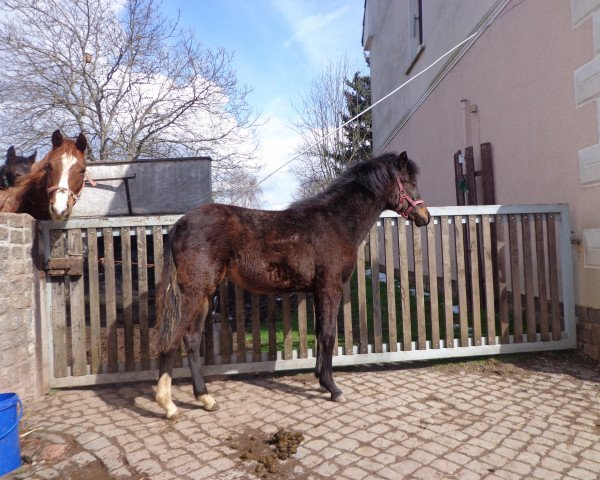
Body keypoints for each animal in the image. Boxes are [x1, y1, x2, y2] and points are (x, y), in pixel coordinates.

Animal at [152, 152, 428, 418]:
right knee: (172, 338)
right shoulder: (330, 288)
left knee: (191, 339)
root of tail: (179, 225)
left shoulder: (318, 291)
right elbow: (328, 335)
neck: (336, 222)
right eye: (412, 184)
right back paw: (168, 405)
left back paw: (205, 398)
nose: (424, 217)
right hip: (193, 294)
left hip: (204, 296)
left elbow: (319, 332)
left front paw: (321, 380)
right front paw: (333, 388)